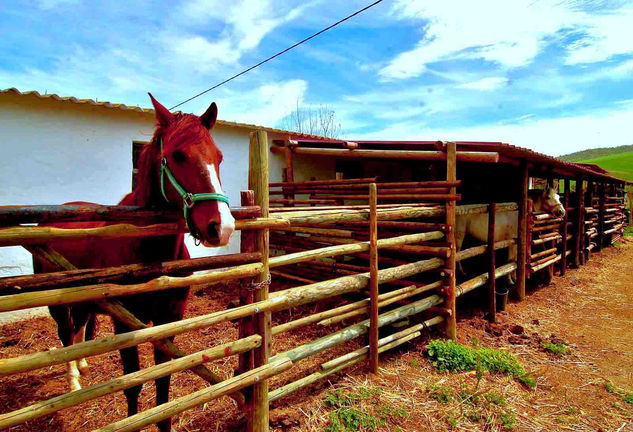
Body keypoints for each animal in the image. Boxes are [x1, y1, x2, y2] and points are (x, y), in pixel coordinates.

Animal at [32, 95, 235, 432]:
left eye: (219, 157)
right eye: (177, 155)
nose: (222, 226)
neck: (150, 251)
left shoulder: (169, 319)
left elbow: (163, 381)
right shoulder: (125, 324)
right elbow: (133, 383)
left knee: (79, 329)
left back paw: (84, 366)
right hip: (58, 302)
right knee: (66, 334)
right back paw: (74, 382)